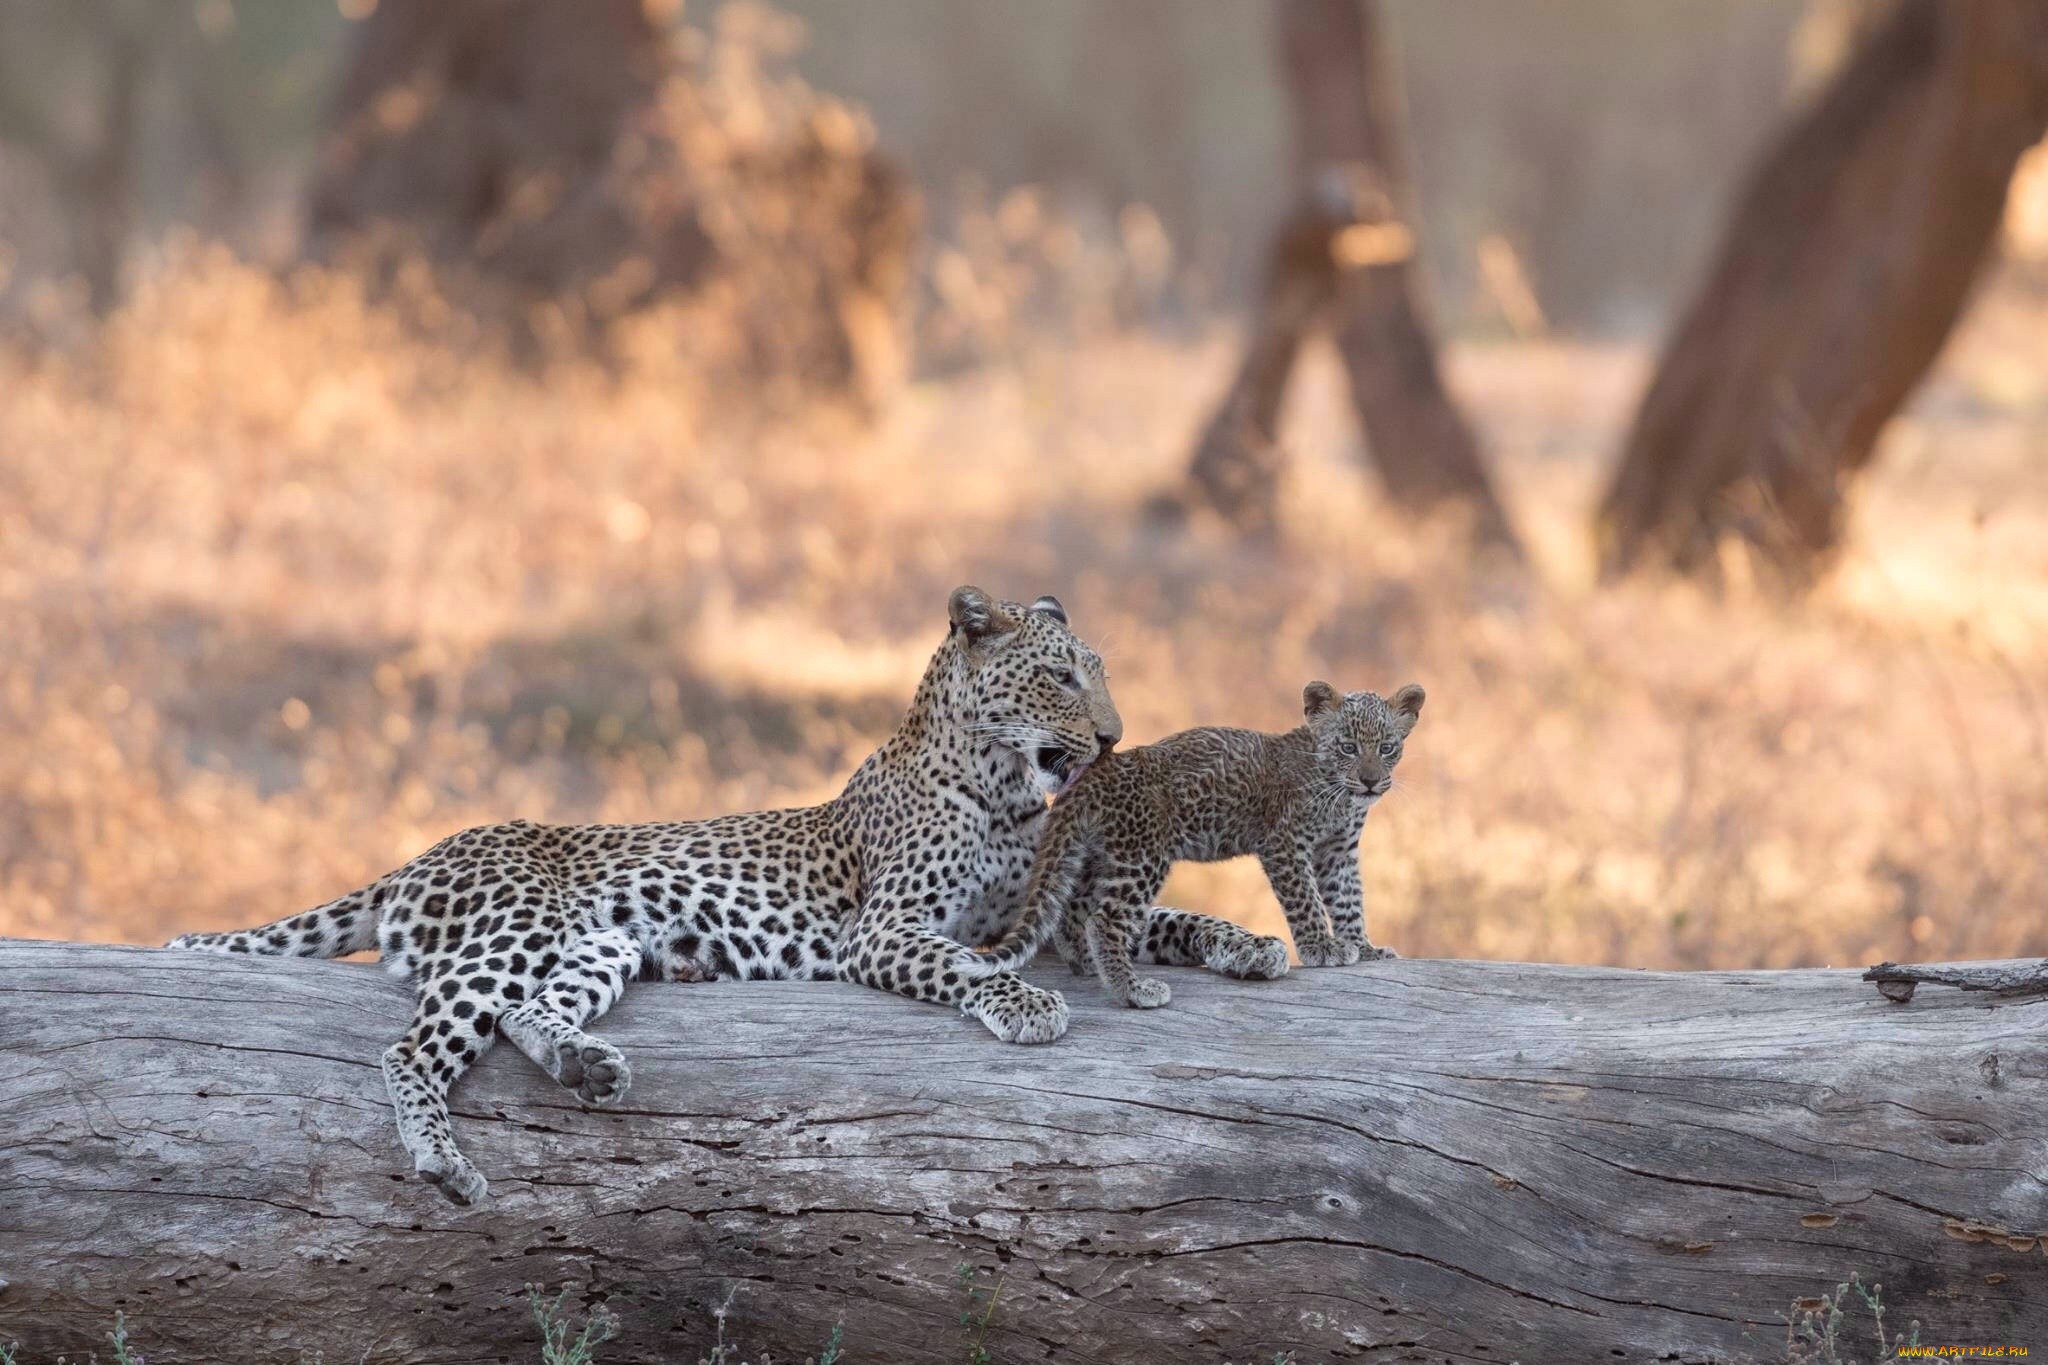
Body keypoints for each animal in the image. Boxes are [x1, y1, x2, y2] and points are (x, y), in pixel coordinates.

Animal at [163, 589, 1122, 1203]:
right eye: (1062, 678)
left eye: (1098, 673)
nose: (1115, 737)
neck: (1003, 788)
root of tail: (418, 855)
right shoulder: (882, 931)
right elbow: (962, 960)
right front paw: (1026, 1002)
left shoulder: (1030, 908)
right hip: (515, 924)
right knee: (413, 1049)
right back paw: (444, 1163)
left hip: (601, 941)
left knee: (522, 1013)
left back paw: (587, 1064)